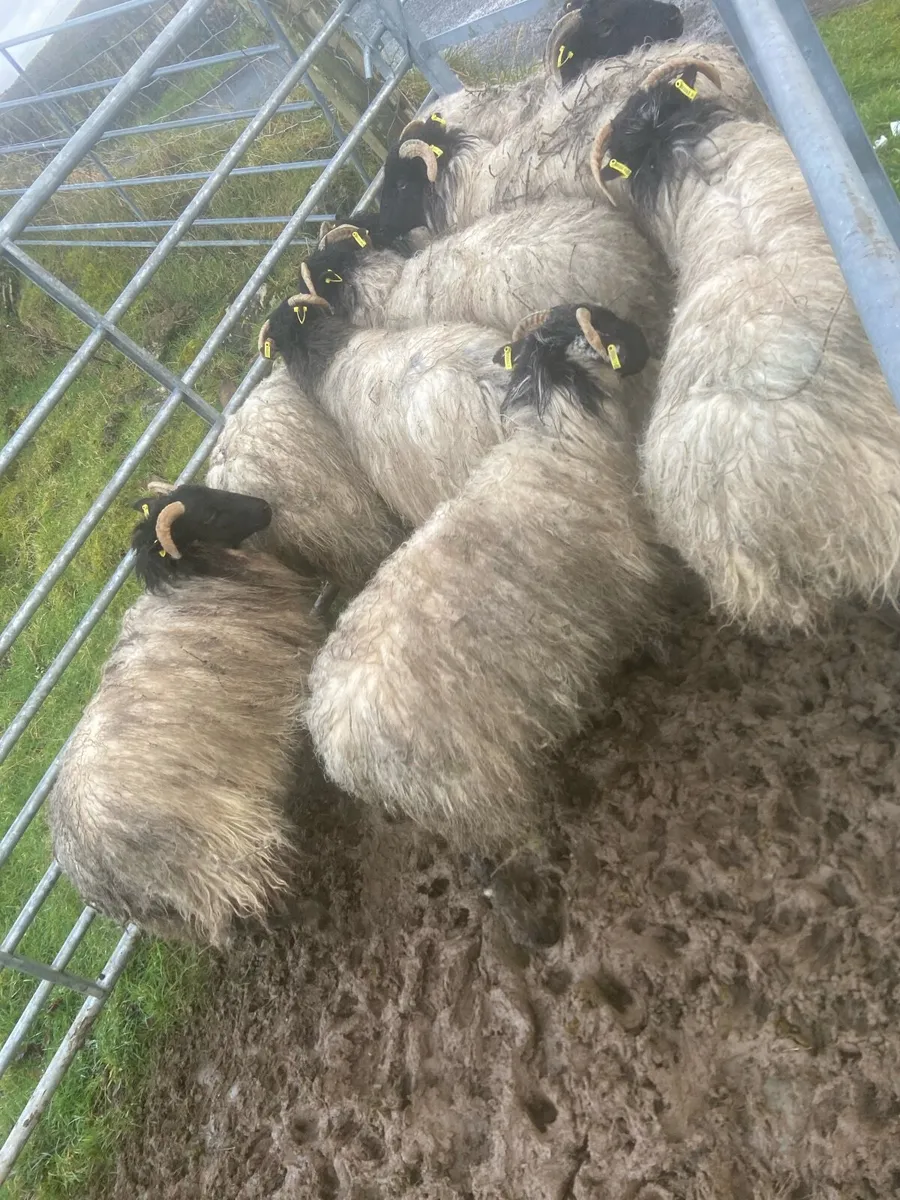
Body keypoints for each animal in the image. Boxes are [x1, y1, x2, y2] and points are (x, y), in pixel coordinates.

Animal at [48, 484, 326, 945]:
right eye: (209, 516)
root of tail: (93, 875)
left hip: (178, 908)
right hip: (219, 853)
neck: (194, 580)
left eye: (211, 492)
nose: (265, 507)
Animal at [304, 304, 671, 859]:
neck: (554, 438)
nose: (649, 343)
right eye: (606, 325)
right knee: (510, 833)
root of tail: (334, 741)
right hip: (475, 785)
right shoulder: (622, 587)